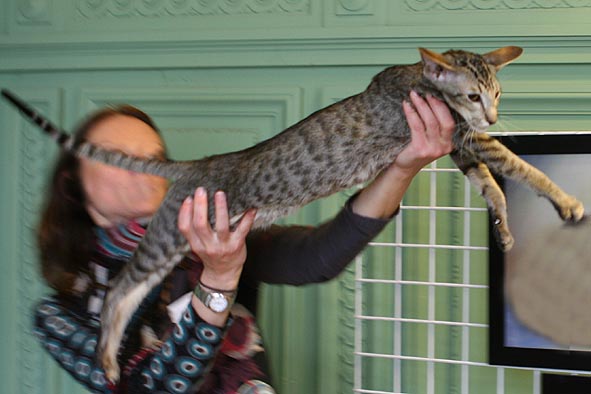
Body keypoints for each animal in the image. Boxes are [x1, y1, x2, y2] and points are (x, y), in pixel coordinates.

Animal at [1, 46, 588, 382]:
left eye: (497, 92)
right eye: (471, 96)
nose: (493, 113)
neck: (415, 78)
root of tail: (195, 165)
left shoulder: (459, 146)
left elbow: (492, 186)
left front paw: (506, 232)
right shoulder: (463, 136)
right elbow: (518, 167)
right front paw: (567, 201)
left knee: (132, 289)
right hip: (168, 236)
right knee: (120, 286)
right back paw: (104, 356)